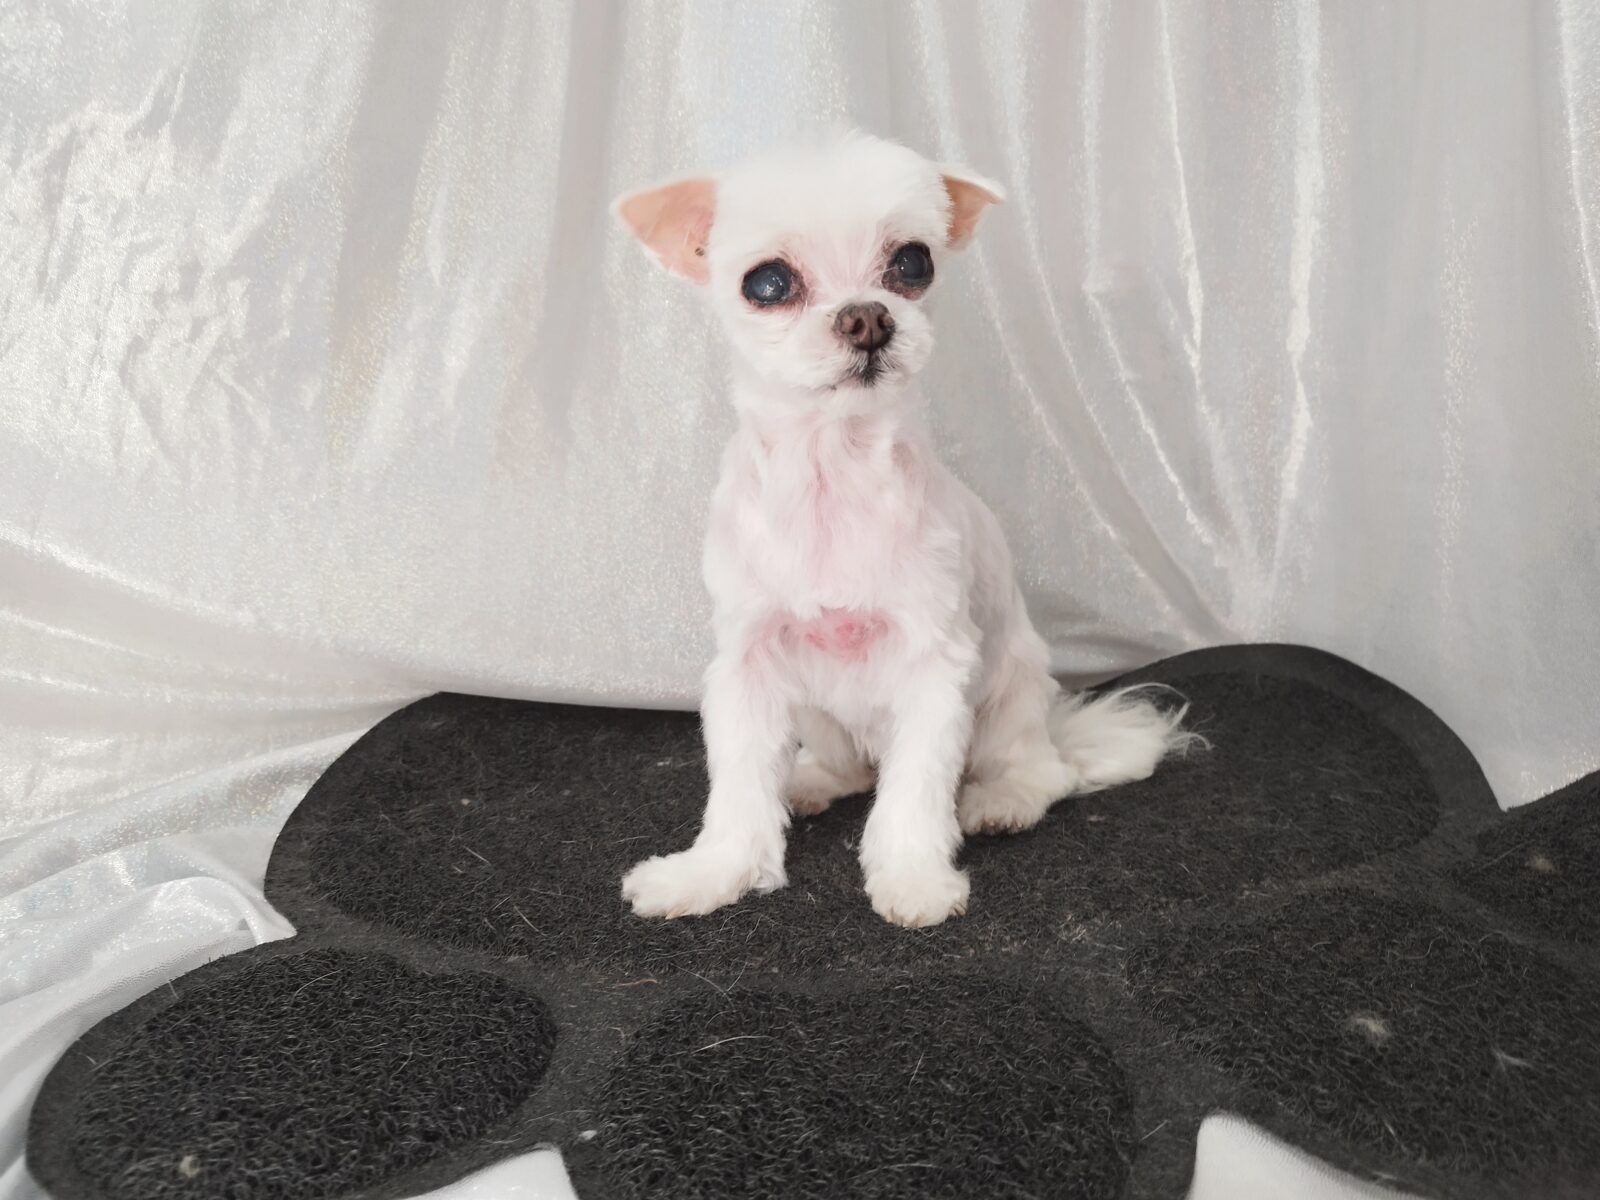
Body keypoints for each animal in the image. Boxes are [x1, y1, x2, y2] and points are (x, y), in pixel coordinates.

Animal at [613, 132, 1195, 928]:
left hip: (1008, 698)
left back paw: (1000, 800)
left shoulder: (934, 666)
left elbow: (914, 793)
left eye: (913, 263)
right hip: (817, 706)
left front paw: (915, 878)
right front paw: (710, 874)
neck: (830, 472)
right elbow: (737, 790)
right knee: (851, 769)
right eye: (768, 283)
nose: (866, 317)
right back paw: (809, 782)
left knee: (1041, 774)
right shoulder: (748, 664)